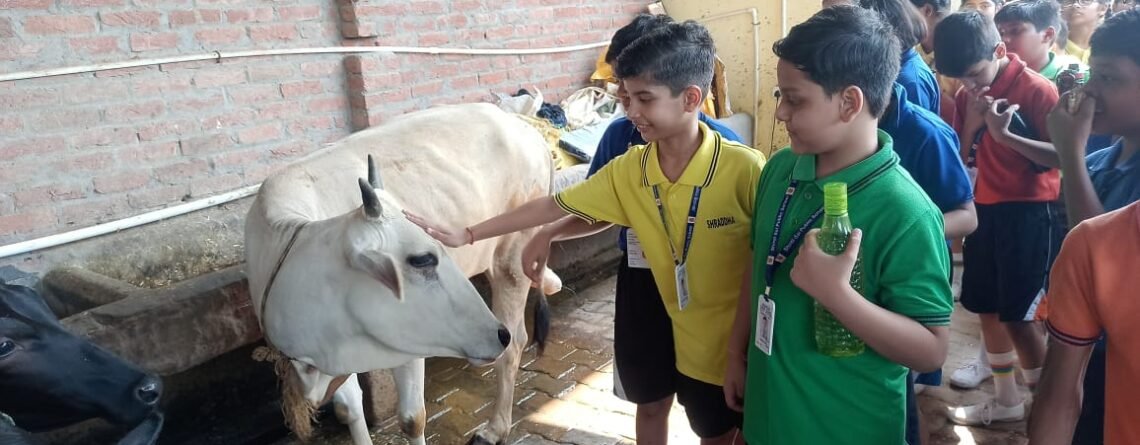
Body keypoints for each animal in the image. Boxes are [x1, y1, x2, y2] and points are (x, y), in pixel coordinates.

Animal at [245, 103, 563, 445]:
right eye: (423, 259)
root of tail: (521, 124)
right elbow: (348, 409)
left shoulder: (410, 343)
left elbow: (412, 419)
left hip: (512, 260)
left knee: (515, 342)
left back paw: (494, 428)